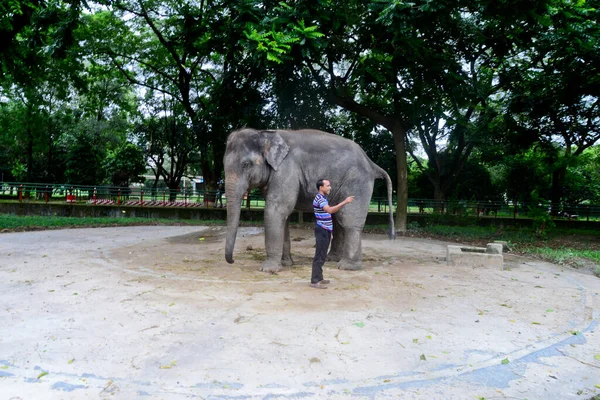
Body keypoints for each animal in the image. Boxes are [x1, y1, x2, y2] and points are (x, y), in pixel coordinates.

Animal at [223, 128, 396, 272]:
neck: (265, 133)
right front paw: (286, 264)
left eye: (246, 165)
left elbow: (276, 210)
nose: (232, 261)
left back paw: (347, 266)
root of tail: (371, 163)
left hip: (357, 181)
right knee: (338, 218)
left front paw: (269, 270)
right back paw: (332, 259)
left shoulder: (286, 169)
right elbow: (283, 215)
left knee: (348, 220)